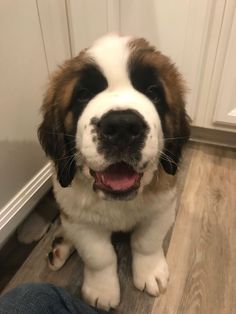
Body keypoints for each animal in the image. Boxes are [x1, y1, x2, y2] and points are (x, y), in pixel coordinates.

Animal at [37, 33, 191, 310]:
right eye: (83, 95)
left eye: (153, 92)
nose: (122, 126)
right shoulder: (80, 220)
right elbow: (100, 256)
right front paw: (102, 290)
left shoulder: (162, 208)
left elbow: (147, 242)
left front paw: (151, 272)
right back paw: (61, 246)